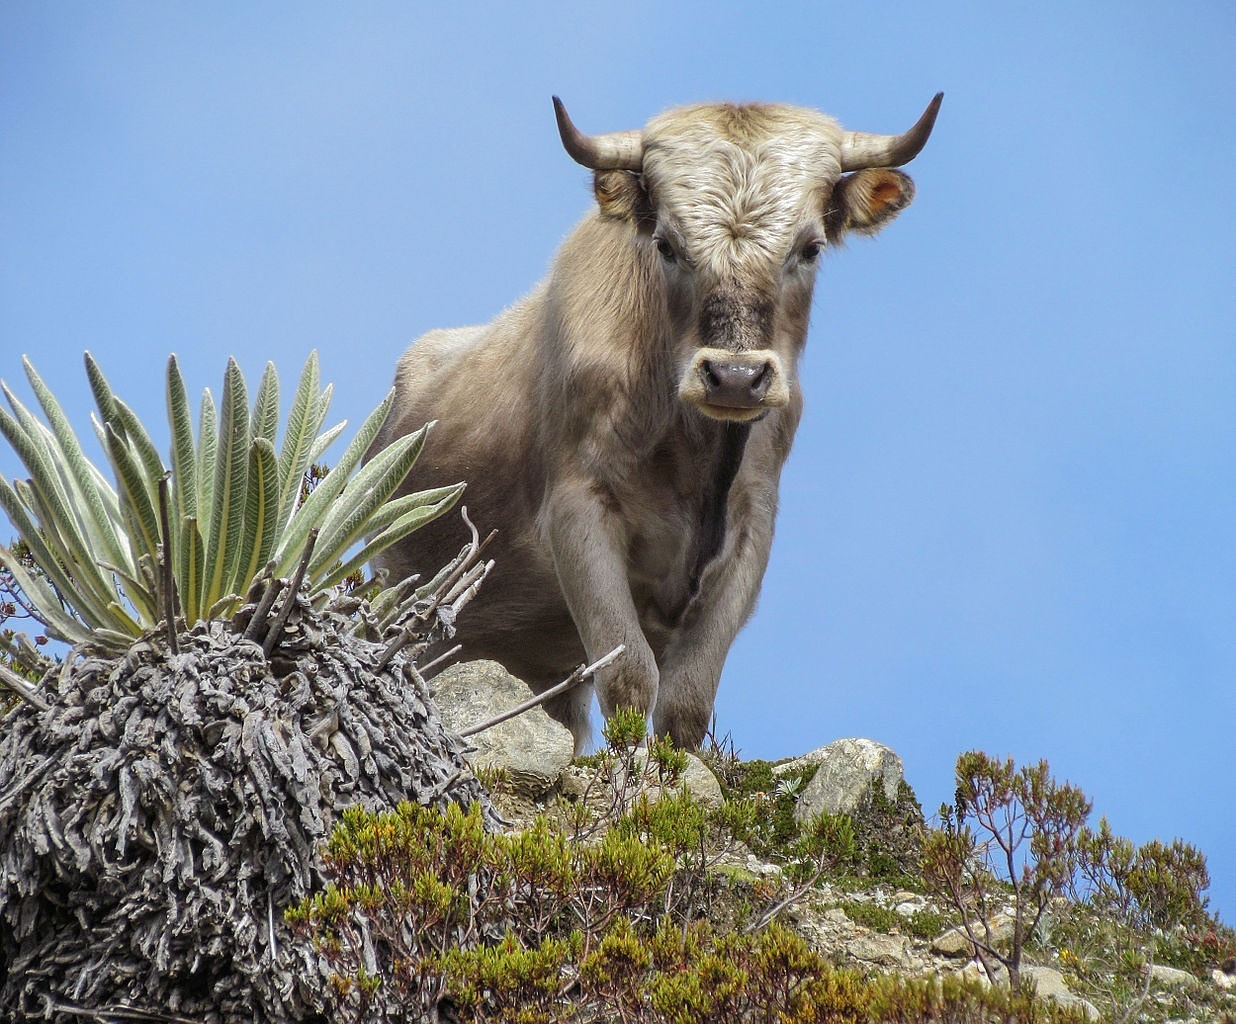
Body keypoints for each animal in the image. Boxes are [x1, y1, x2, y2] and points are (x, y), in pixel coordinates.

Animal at [370, 95, 939, 751]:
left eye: (812, 247)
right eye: (667, 245)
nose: (735, 376)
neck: (692, 456)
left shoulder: (752, 529)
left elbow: (687, 701)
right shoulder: (578, 511)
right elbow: (629, 678)